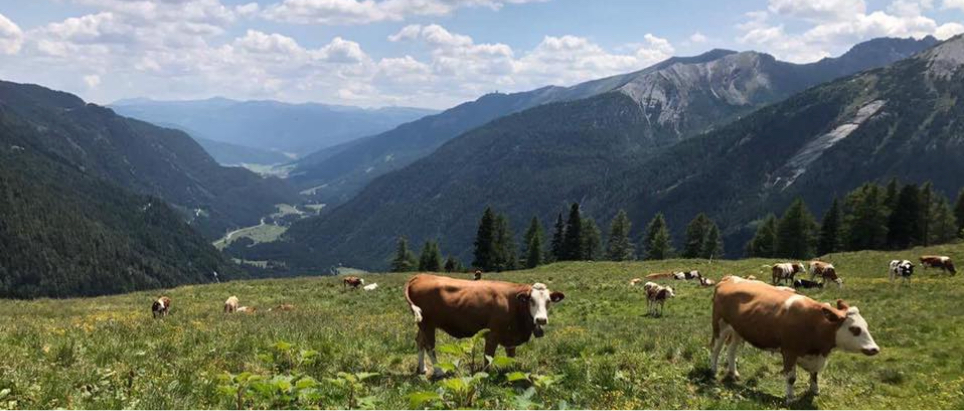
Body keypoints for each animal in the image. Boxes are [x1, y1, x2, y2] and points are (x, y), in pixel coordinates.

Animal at [402, 276, 564, 378]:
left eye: (548, 301)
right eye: (531, 300)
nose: (541, 319)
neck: (513, 303)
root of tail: (420, 276)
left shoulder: (511, 337)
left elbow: (511, 357)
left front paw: (511, 372)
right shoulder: (492, 335)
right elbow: (488, 358)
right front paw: (485, 375)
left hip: (422, 324)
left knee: (420, 341)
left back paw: (422, 369)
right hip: (428, 324)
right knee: (430, 346)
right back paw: (439, 371)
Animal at [708, 276, 880, 406]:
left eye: (866, 326)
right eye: (855, 329)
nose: (875, 349)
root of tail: (730, 278)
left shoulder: (814, 356)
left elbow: (815, 374)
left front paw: (815, 390)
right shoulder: (789, 352)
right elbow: (791, 378)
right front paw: (790, 398)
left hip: (738, 329)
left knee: (731, 349)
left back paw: (734, 373)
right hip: (720, 325)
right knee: (715, 348)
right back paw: (713, 371)